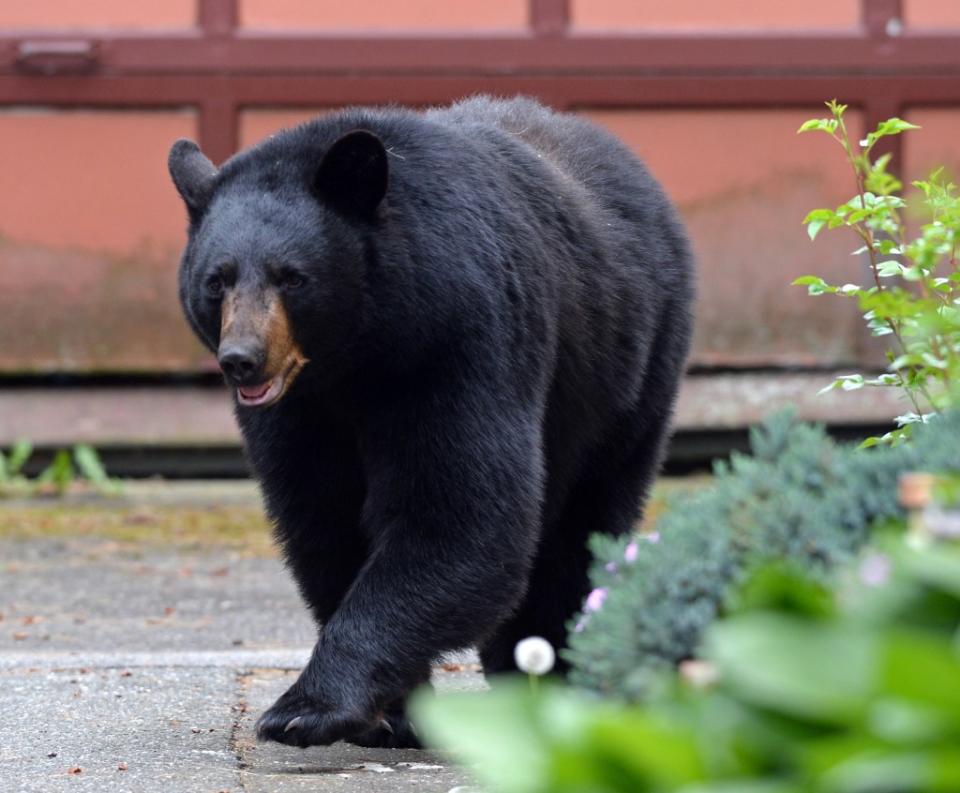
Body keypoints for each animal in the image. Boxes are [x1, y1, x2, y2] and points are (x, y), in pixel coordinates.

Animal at [165, 96, 688, 744]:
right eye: (217, 280)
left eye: (292, 276)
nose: (242, 359)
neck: (358, 357)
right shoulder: (298, 412)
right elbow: (322, 519)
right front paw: (393, 712)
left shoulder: (459, 339)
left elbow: (457, 512)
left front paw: (305, 708)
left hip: (629, 375)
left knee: (582, 525)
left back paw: (549, 676)